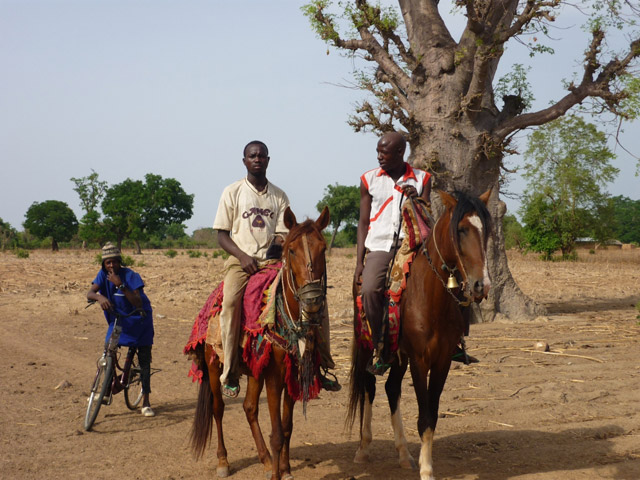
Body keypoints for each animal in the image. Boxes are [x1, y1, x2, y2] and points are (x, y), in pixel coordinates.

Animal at [190, 206, 330, 480]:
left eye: (323, 248)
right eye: (291, 250)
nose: (312, 302)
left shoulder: (292, 372)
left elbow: (286, 427)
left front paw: (284, 469)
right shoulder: (274, 376)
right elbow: (276, 434)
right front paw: (278, 474)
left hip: (255, 371)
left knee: (249, 408)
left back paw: (265, 460)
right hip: (214, 366)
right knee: (218, 408)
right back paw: (223, 461)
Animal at [348, 189, 492, 478]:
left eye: (487, 231)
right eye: (461, 229)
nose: (481, 285)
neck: (431, 294)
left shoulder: (442, 360)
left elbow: (432, 415)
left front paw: (424, 463)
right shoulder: (419, 359)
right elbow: (424, 415)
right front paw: (427, 470)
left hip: (397, 354)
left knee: (391, 388)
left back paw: (404, 454)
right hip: (370, 347)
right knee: (369, 387)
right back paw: (364, 449)